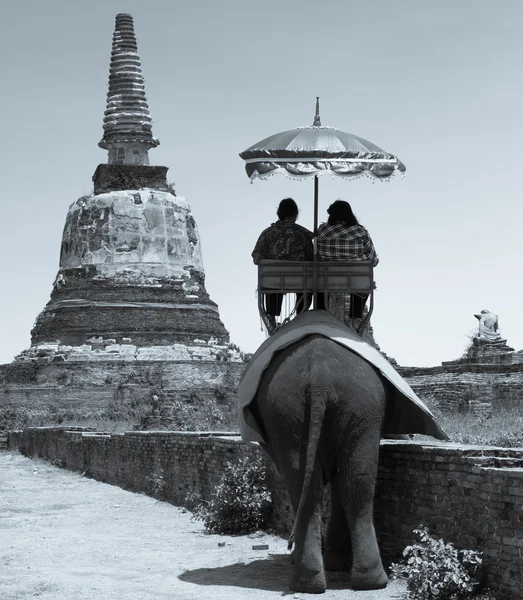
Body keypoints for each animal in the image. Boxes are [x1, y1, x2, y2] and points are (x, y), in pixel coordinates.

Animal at [239, 312, 448, 592]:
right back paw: (358, 580)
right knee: (351, 479)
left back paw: (323, 579)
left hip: (319, 407)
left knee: (316, 483)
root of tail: (319, 377)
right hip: (345, 406)